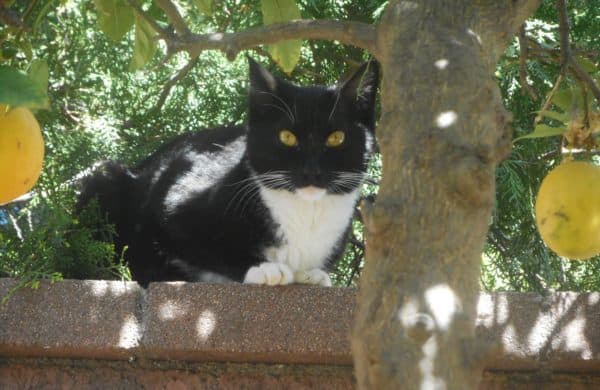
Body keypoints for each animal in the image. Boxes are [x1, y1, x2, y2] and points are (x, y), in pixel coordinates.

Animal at [77, 59, 378, 288]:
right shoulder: (173, 201)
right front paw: (263, 268)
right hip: (106, 177)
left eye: (336, 137)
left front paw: (312, 274)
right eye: (287, 137)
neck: (305, 213)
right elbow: (206, 248)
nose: (311, 171)